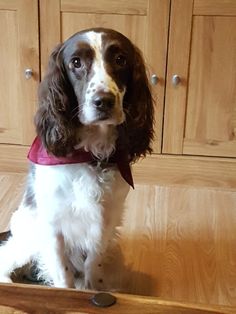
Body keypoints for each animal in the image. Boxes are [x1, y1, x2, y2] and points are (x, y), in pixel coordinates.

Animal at [0, 28, 154, 288]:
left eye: (120, 59)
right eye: (76, 63)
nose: (103, 101)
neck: (90, 155)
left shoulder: (106, 221)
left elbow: (94, 263)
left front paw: (92, 288)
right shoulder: (53, 226)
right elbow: (63, 275)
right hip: (28, 238)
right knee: (6, 257)